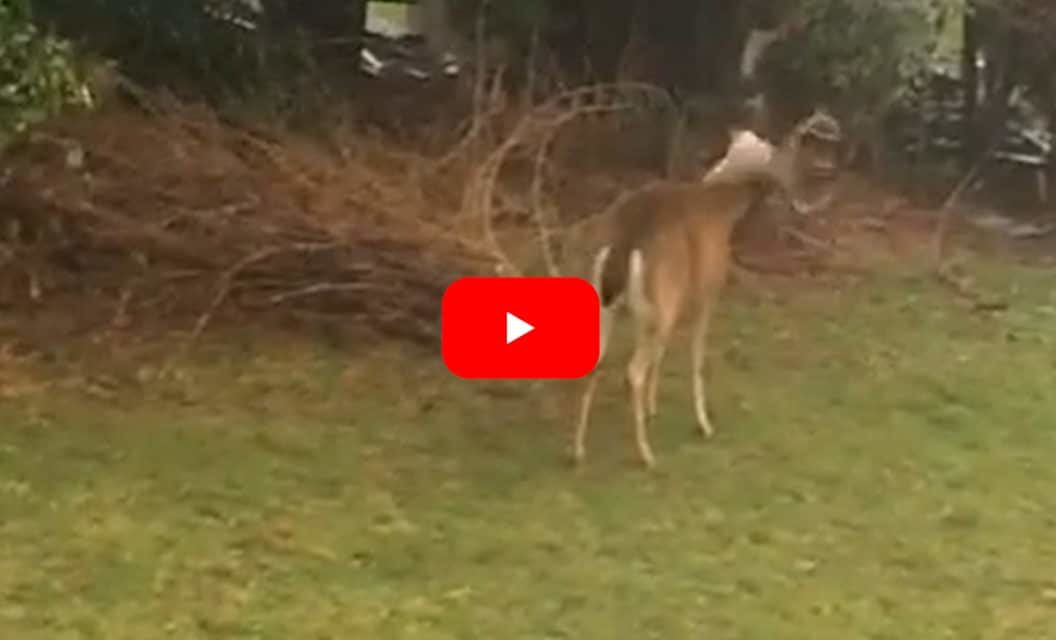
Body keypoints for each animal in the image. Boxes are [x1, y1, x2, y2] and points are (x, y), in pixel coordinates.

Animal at [570, 109, 840, 471]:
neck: (723, 209)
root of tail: (625, 243)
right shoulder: (708, 288)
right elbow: (697, 355)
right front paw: (703, 423)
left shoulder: (675, 300)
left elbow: (665, 350)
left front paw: (653, 408)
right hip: (655, 301)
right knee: (633, 371)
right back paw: (646, 454)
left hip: (610, 301)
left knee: (600, 361)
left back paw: (578, 451)